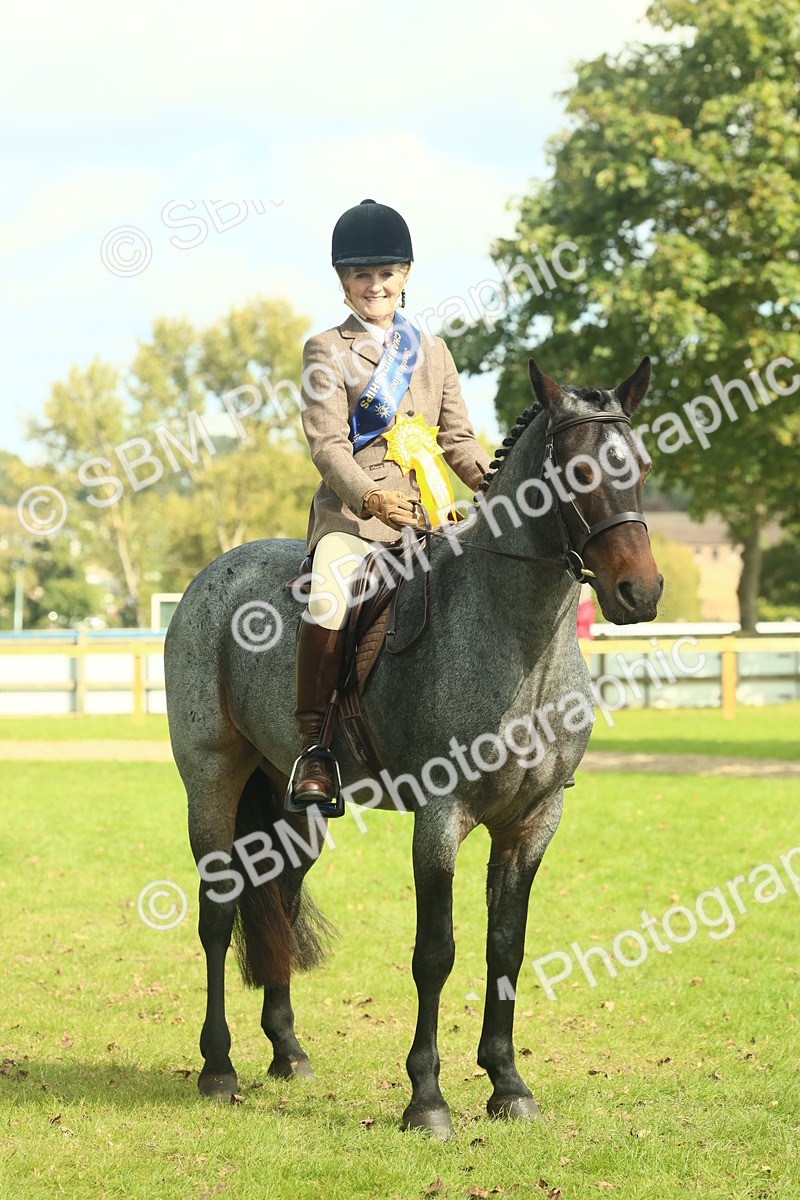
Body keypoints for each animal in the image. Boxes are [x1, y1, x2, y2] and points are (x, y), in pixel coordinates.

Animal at [164, 356, 663, 1139]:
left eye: (638, 465)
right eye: (578, 470)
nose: (640, 591)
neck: (521, 641)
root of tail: (213, 575)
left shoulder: (533, 822)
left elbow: (505, 946)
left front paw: (507, 1084)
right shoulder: (440, 817)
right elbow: (436, 953)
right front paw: (427, 1099)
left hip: (294, 804)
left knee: (281, 896)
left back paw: (287, 1051)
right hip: (212, 781)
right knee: (217, 914)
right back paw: (219, 1067)